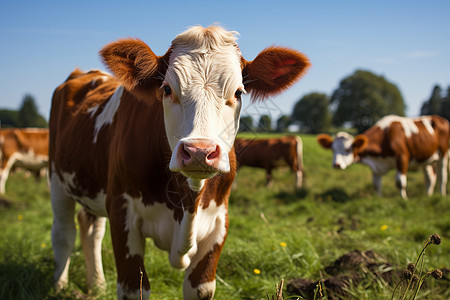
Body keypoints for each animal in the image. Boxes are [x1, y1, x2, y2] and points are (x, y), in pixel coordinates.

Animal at [49, 26, 310, 300]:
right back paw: (60, 285)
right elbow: (134, 288)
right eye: (166, 89)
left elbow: (199, 287)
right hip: (57, 179)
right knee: (64, 234)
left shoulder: (219, 223)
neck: (188, 204)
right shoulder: (122, 212)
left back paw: (97, 285)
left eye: (238, 92)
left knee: (92, 229)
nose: (199, 151)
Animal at [316, 115, 450, 199]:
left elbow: (400, 182)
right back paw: (428, 195)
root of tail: (440, 119)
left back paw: (442, 195)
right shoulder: (376, 168)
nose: (336, 165)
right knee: (430, 177)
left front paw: (404, 199)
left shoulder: (402, 158)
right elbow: (376, 185)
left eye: (348, 149)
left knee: (442, 176)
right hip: (426, 158)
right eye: (333, 149)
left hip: (444, 154)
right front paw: (379, 199)